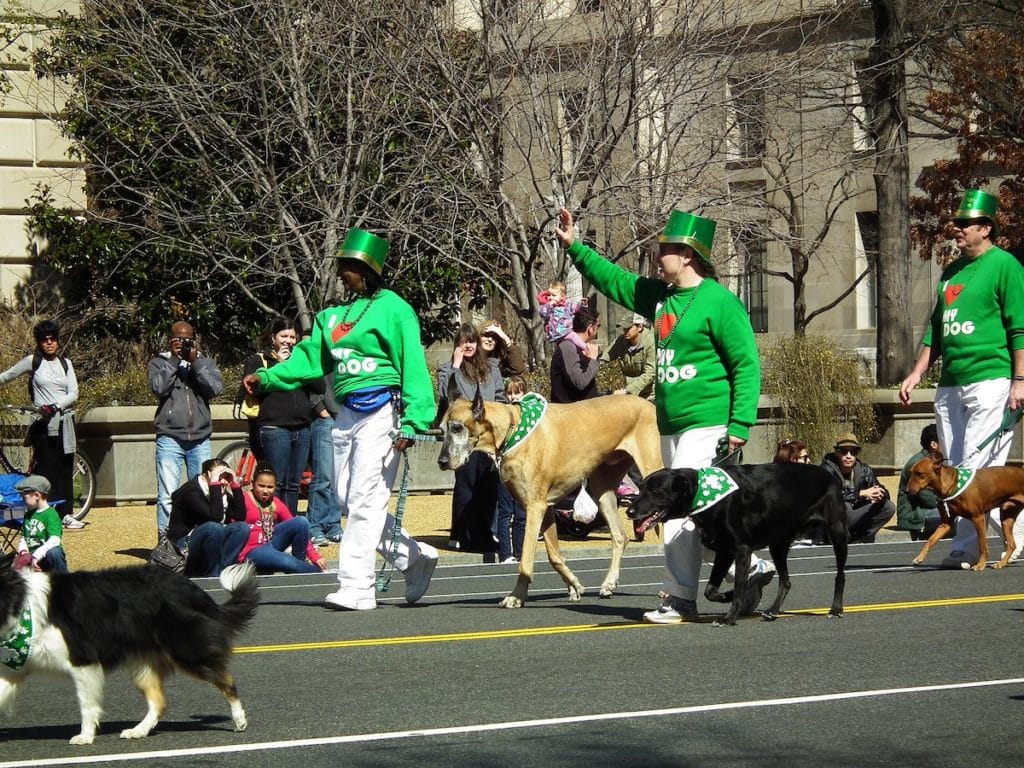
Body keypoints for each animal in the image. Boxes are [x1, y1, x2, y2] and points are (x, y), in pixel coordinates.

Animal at [438, 393, 663, 610]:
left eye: (457, 427)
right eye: (442, 429)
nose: (441, 462)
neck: (512, 429)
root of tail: (647, 403)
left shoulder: (534, 508)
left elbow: (526, 558)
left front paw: (516, 596)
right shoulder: (545, 508)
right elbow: (554, 556)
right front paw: (574, 585)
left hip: (655, 477)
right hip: (603, 489)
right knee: (619, 536)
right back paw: (609, 583)